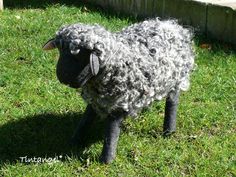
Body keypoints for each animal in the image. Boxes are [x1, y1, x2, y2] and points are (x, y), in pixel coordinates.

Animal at [43, 18, 195, 163]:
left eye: (79, 56)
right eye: (60, 51)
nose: (63, 77)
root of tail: (173, 26)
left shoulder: (119, 103)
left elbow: (112, 132)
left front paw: (106, 160)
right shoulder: (96, 99)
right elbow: (86, 119)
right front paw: (75, 141)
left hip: (175, 82)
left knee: (172, 103)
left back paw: (169, 131)